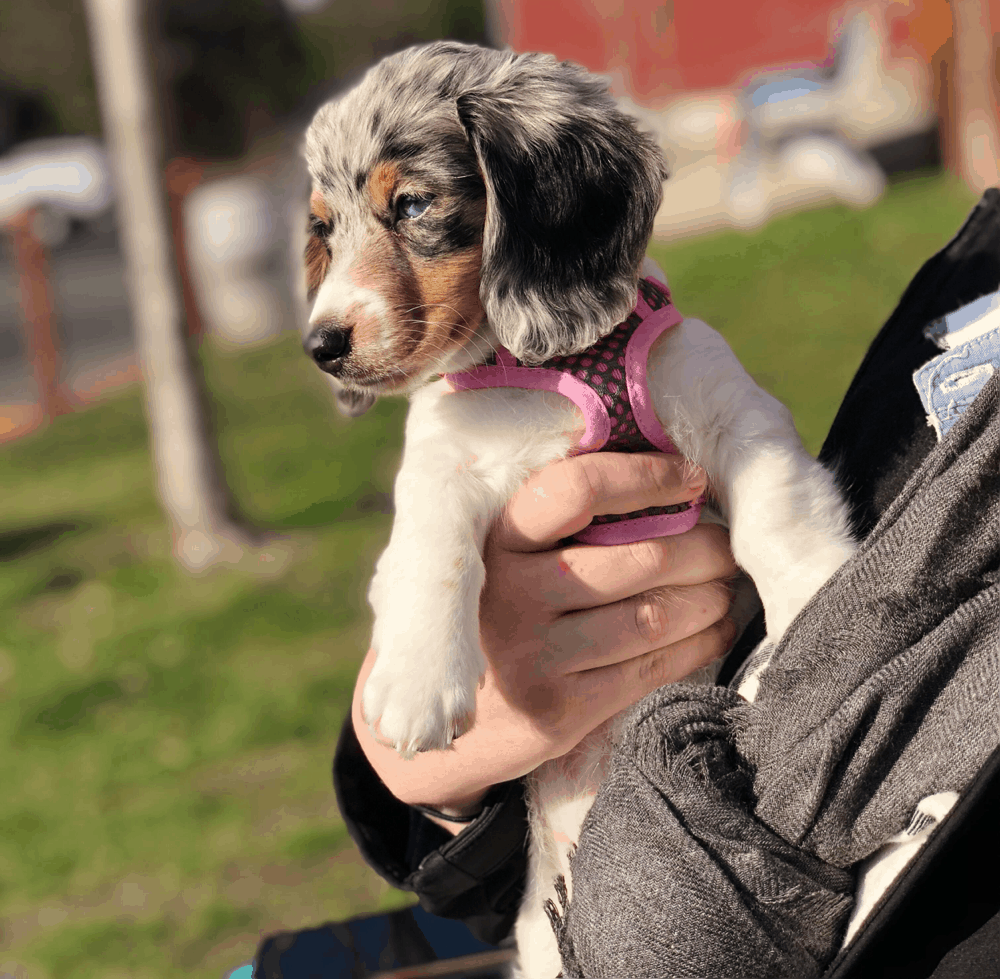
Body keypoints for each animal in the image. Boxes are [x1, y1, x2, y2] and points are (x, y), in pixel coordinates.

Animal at [300, 42, 856, 976]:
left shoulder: (730, 408)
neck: (553, 360)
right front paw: (415, 680)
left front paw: (816, 596)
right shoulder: (443, 456)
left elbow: (778, 516)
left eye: (410, 203)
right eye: (324, 229)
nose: (320, 345)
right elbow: (429, 545)